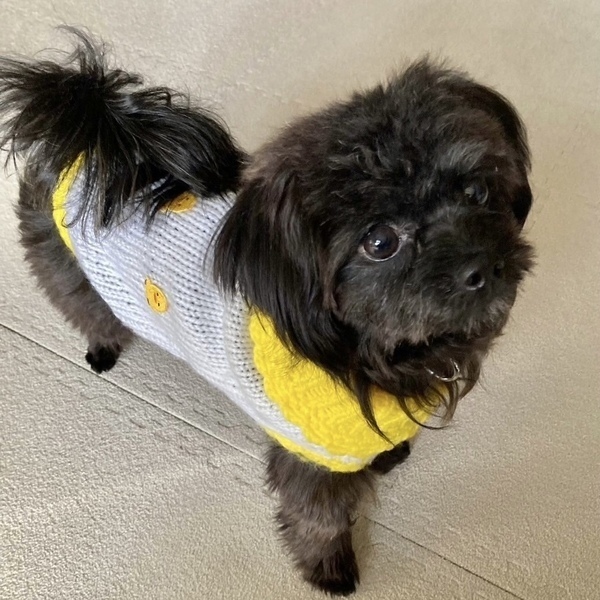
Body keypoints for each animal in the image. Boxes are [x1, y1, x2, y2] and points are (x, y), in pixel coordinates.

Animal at [0, 30, 534, 596]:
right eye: (380, 242)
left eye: (476, 189)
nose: (484, 267)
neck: (372, 354)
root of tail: (88, 133)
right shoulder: (310, 461)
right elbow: (318, 520)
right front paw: (329, 568)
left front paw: (390, 455)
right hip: (68, 273)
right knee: (86, 311)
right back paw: (102, 349)